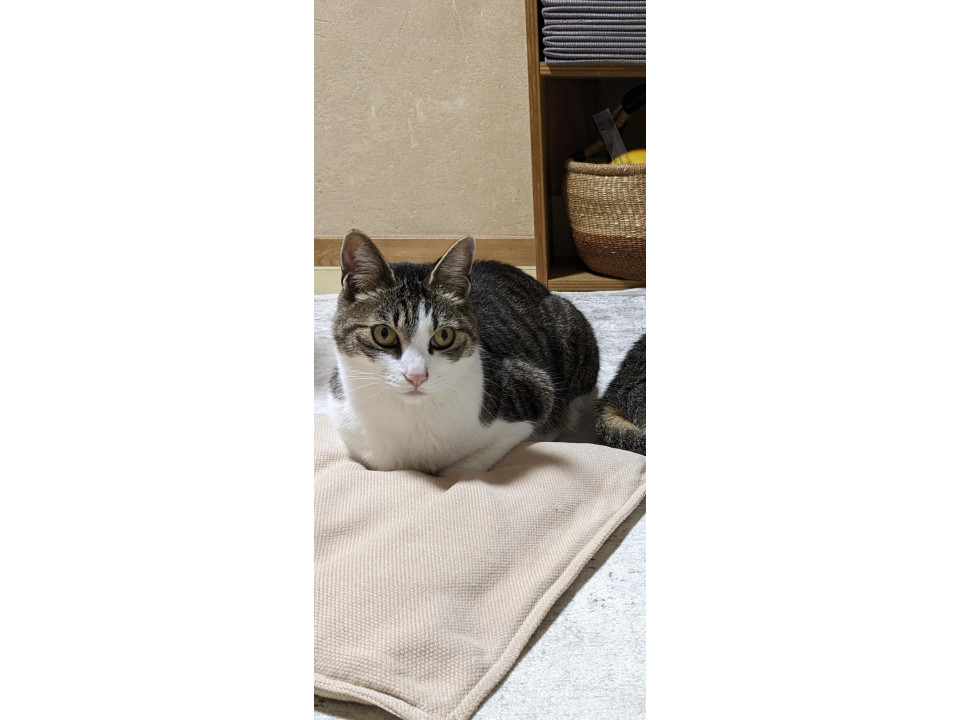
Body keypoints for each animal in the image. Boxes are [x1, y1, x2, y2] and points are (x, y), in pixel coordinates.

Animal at [329, 229, 600, 476]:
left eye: (444, 336)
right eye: (384, 333)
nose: (416, 376)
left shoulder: (534, 392)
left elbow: (464, 468)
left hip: (566, 320)